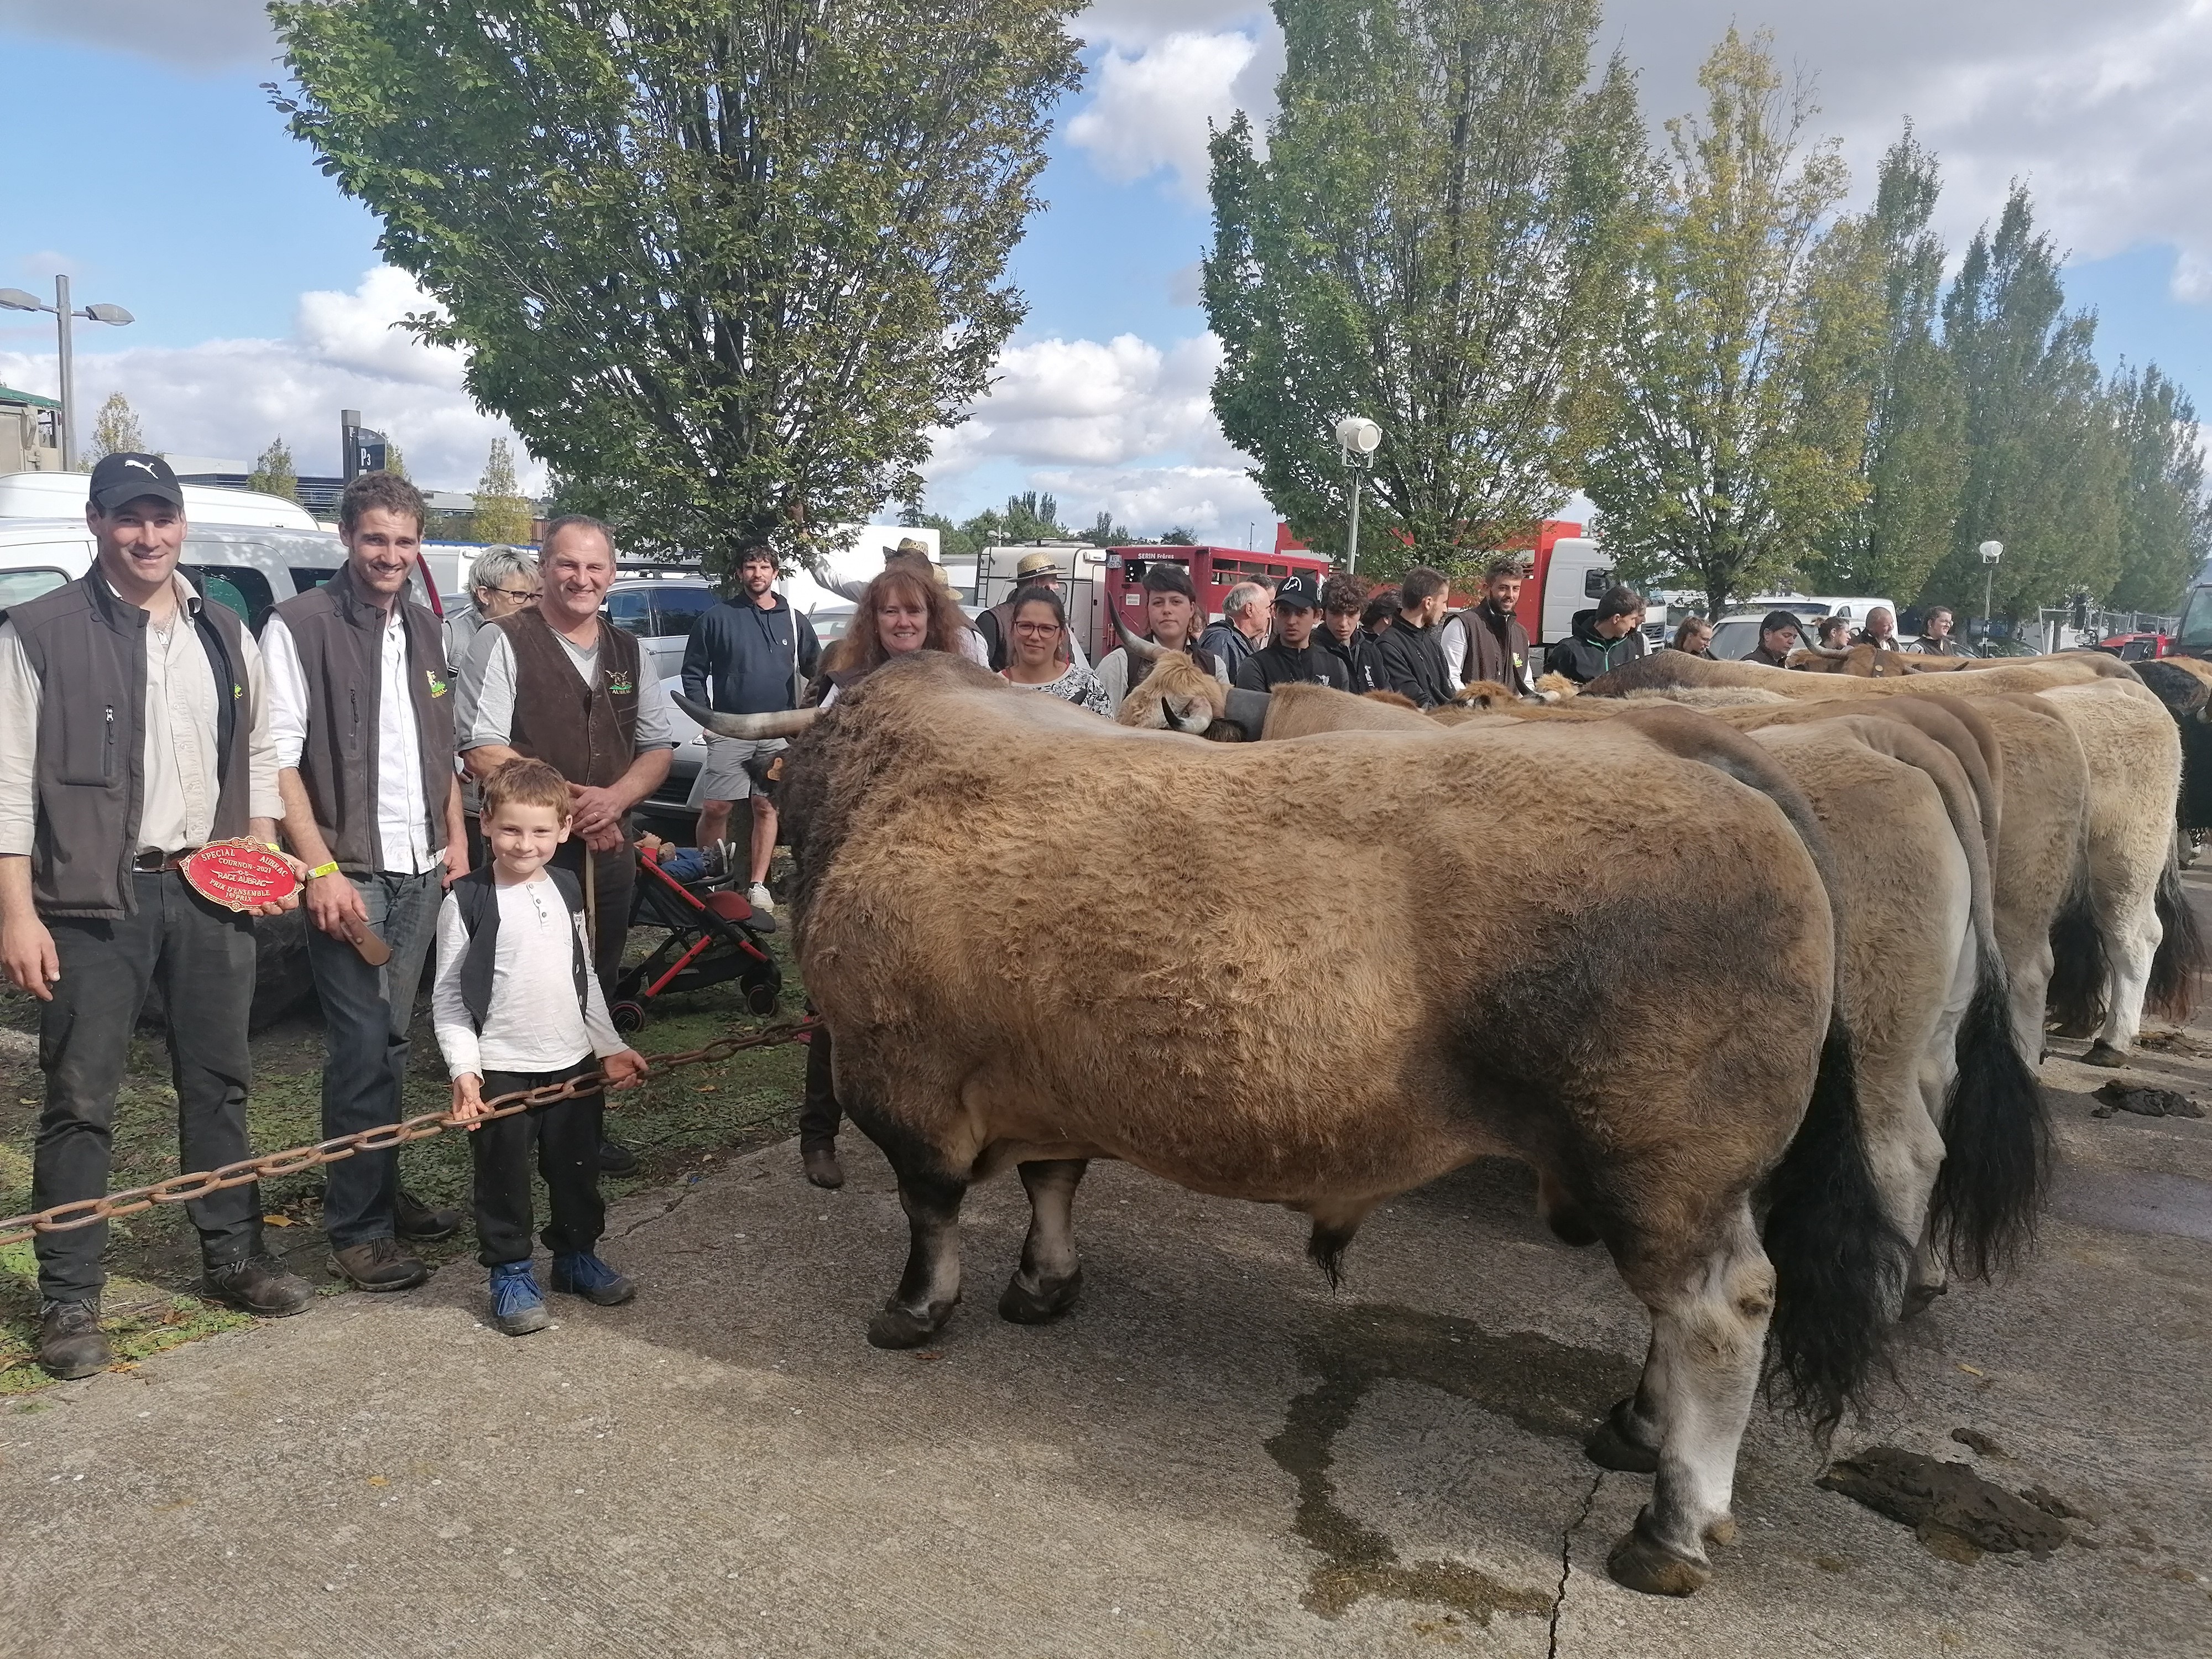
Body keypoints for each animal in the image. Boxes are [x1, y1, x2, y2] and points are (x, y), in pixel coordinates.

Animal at [672, 655, 1902, 1601]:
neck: (901, 785)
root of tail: (1705, 765)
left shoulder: (906, 1085)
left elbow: (928, 1212)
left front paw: (915, 1309)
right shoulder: (1047, 1083)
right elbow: (1051, 1185)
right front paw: (1042, 1282)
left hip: (1661, 1166)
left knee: (1718, 1311)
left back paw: (1669, 1527)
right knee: (1672, 1318)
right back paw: (1635, 1431)